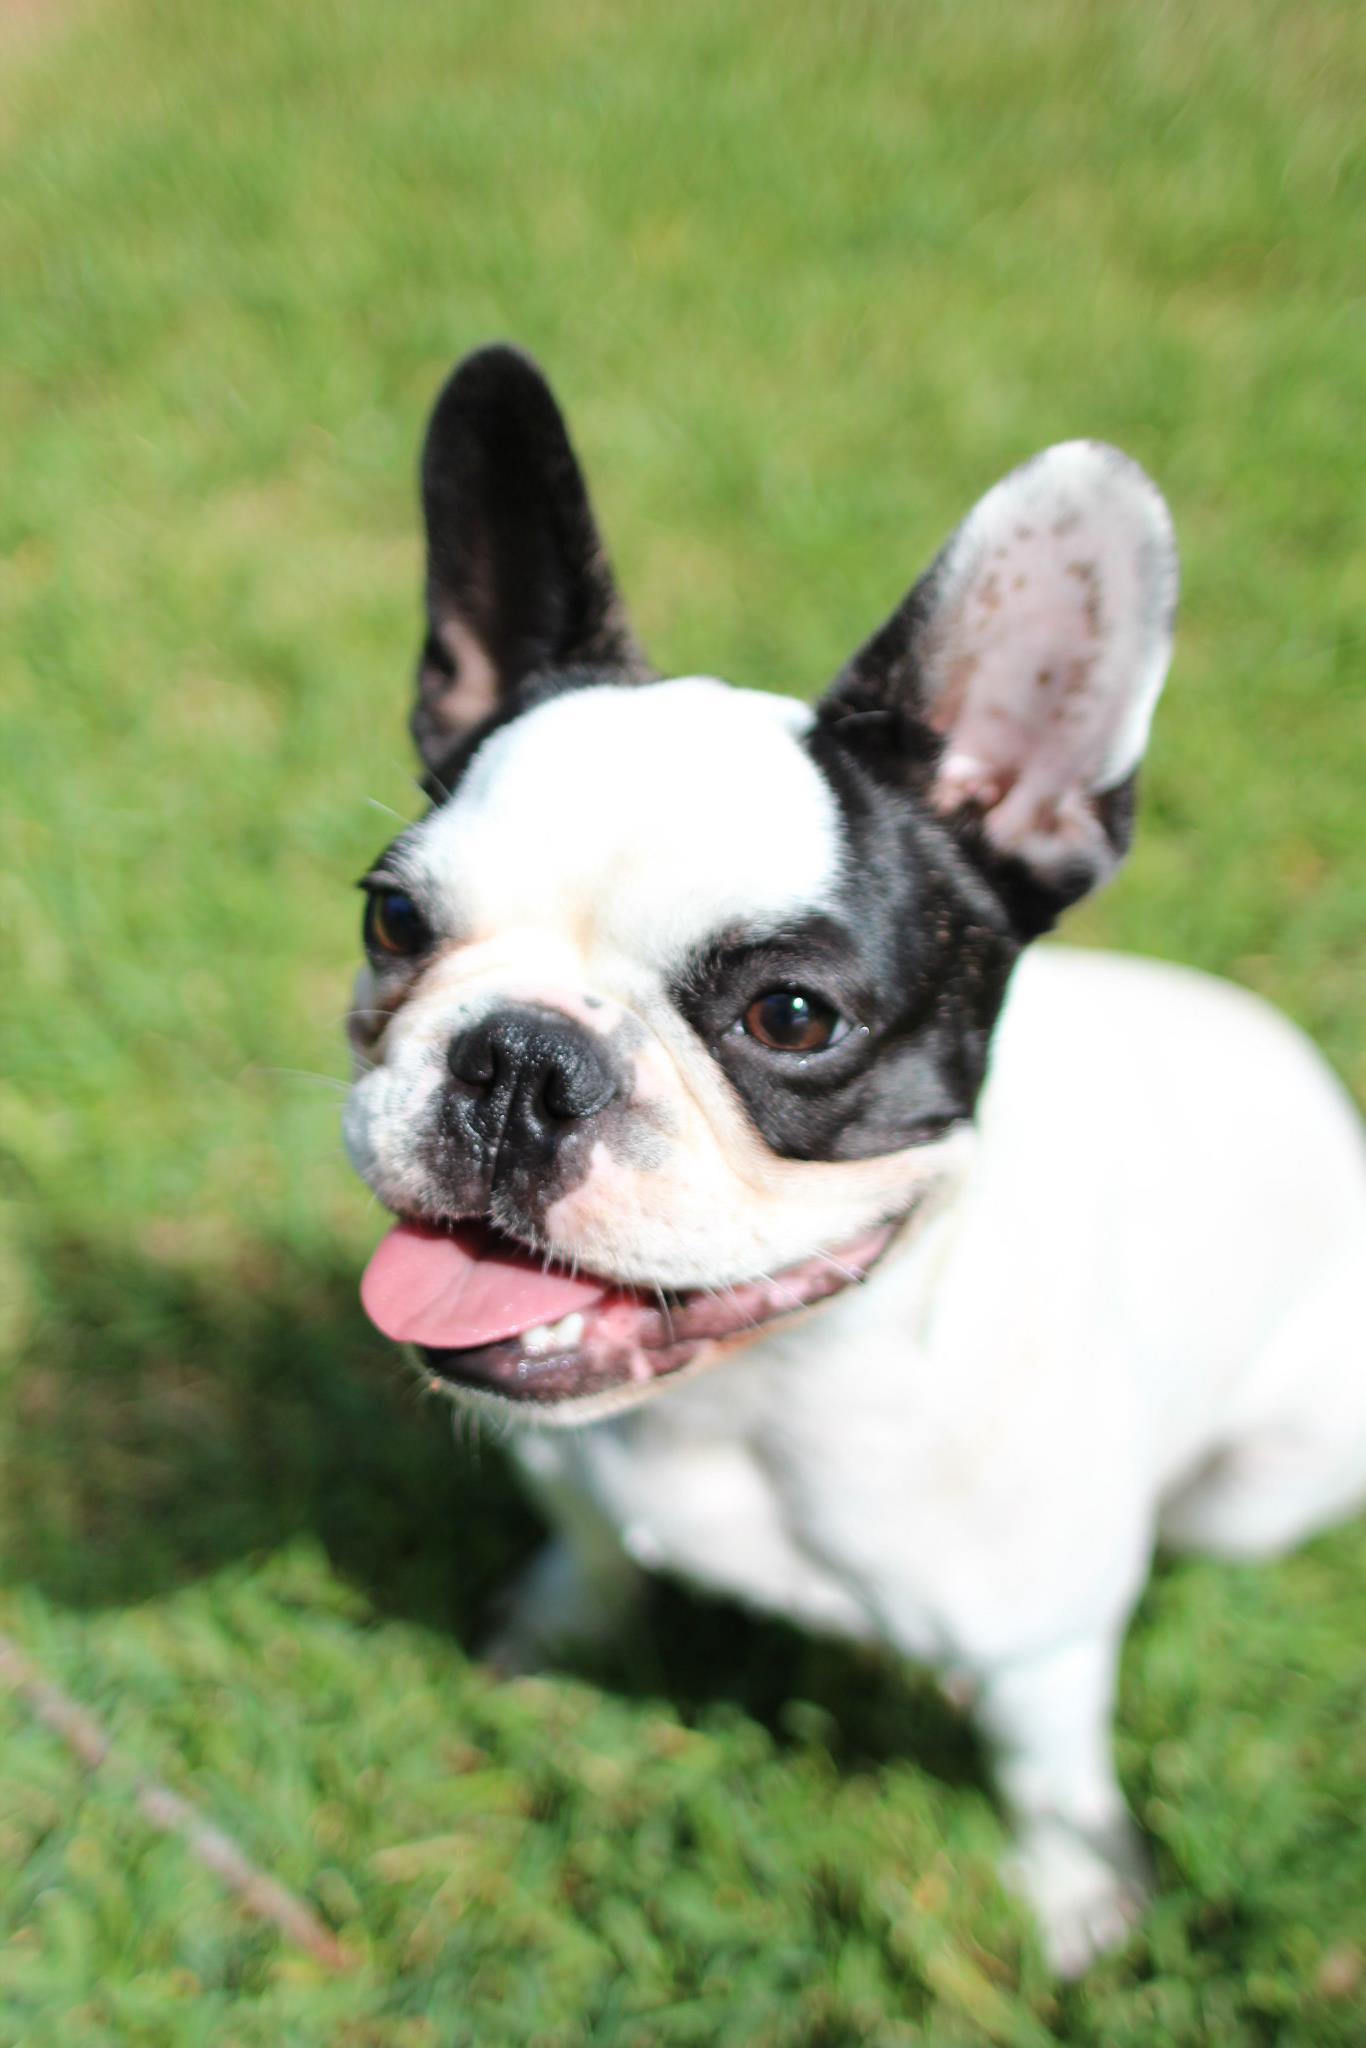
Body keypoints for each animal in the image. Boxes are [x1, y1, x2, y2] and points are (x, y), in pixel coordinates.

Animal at [344, 344, 1366, 1974]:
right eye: (391, 919)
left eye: (792, 1015)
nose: (518, 1062)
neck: (747, 1400)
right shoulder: (576, 1479)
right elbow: (590, 1551)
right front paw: (549, 1637)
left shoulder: (1044, 1647)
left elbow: (1048, 1772)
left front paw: (1077, 1903)